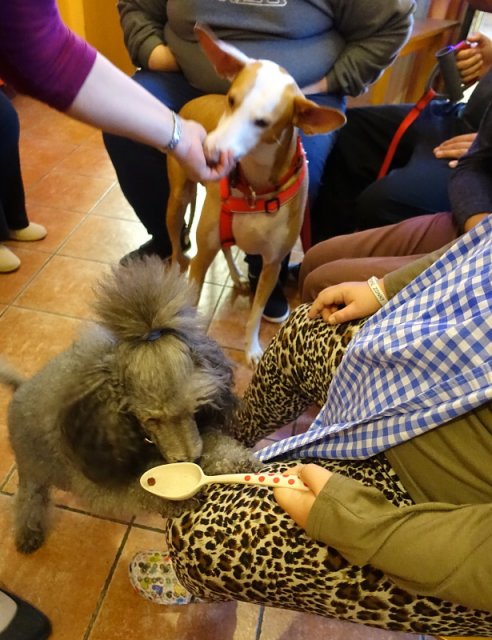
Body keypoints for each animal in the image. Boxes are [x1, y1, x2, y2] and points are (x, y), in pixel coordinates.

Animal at [0, 257, 256, 553]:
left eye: (195, 408)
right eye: (152, 419)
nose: (192, 459)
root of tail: (21, 387)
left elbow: (216, 443)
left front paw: (237, 461)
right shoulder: (101, 480)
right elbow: (139, 489)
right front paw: (174, 498)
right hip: (33, 470)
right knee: (28, 499)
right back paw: (28, 533)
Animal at [166, 25, 346, 366]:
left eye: (262, 122)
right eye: (231, 100)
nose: (208, 152)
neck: (254, 188)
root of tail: (191, 101)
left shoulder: (272, 265)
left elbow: (254, 316)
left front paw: (251, 350)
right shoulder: (202, 258)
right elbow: (192, 306)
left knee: (226, 247)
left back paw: (236, 276)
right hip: (179, 200)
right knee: (176, 243)